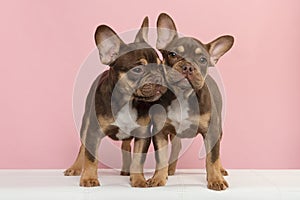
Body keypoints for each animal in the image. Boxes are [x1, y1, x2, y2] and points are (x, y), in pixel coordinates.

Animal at [63, 17, 166, 188]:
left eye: (161, 65)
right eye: (138, 70)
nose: (159, 78)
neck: (128, 101)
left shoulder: (142, 134)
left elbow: (138, 159)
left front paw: (138, 179)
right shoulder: (93, 132)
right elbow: (91, 157)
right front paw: (89, 178)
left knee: (126, 145)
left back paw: (127, 170)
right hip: (86, 124)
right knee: (82, 148)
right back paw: (76, 168)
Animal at [148, 12, 234, 191]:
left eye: (202, 60)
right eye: (173, 54)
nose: (188, 66)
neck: (182, 96)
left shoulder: (211, 131)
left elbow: (212, 158)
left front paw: (215, 179)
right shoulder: (160, 131)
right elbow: (161, 157)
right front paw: (158, 178)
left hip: (219, 129)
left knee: (216, 153)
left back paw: (221, 170)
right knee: (176, 147)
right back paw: (170, 169)